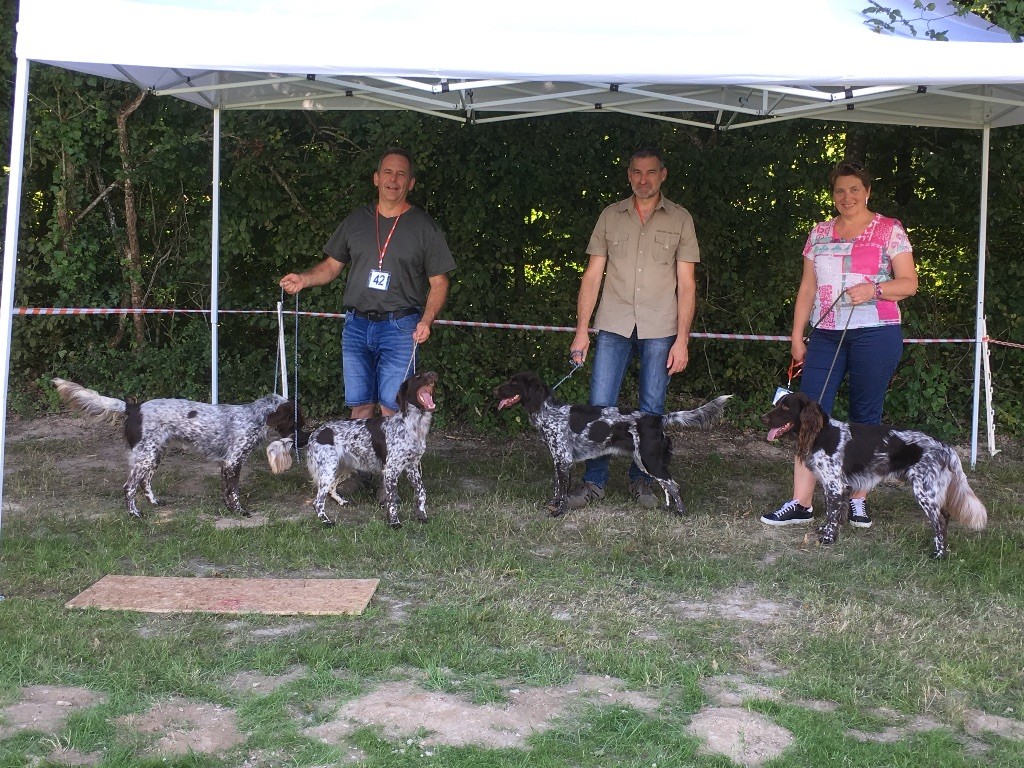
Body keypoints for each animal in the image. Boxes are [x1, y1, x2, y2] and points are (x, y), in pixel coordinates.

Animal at [55, 376, 303, 520]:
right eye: (296, 418)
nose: (303, 437)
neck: (253, 417)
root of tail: (134, 407)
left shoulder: (226, 464)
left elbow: (226, 491)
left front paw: (229, 509)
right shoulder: (233, 462)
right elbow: (234, 492)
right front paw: (239, 512)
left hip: (155, 453)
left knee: (145, 482)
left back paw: (155, 503)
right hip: (146, 455)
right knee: (129, 487)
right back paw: (135, 514)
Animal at [299, 370, 436, 528]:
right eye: (417, 377)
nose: (433, 374)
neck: (412, 425)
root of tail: (315, 432)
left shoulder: (412, 467)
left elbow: (421, 492)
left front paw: (422, 515)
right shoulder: (391, 470)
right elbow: (392, 500)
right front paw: (394, 522)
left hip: (343, 468)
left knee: (331, 489)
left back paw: (342, 502)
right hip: (329, 469)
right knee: (317, 501)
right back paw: (325, 520)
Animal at [493, 370, 729, 518]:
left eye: (514, 382)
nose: (495, 391)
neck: (548, 411)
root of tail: (658, 419)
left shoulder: (564, 461)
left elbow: (563, 492)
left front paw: (559, 512)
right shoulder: (558, 461)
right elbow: (557, 488)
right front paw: (553, 506)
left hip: (649, 460)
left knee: (674, 486)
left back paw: (680, 513)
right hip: (645, 461)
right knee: (668, 486)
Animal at [765, 393, 987, 557]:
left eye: (786, 407)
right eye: (777, 404)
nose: (763, 418)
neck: (822, 434)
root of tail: (945, 448)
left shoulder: (835, 485)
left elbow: (832, 515)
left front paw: (828, 539)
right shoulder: (837, 486)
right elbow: (834, 514)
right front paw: (828, 531)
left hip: (924, 490)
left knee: (939, 520)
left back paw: (939, 554)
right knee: (945, 516)